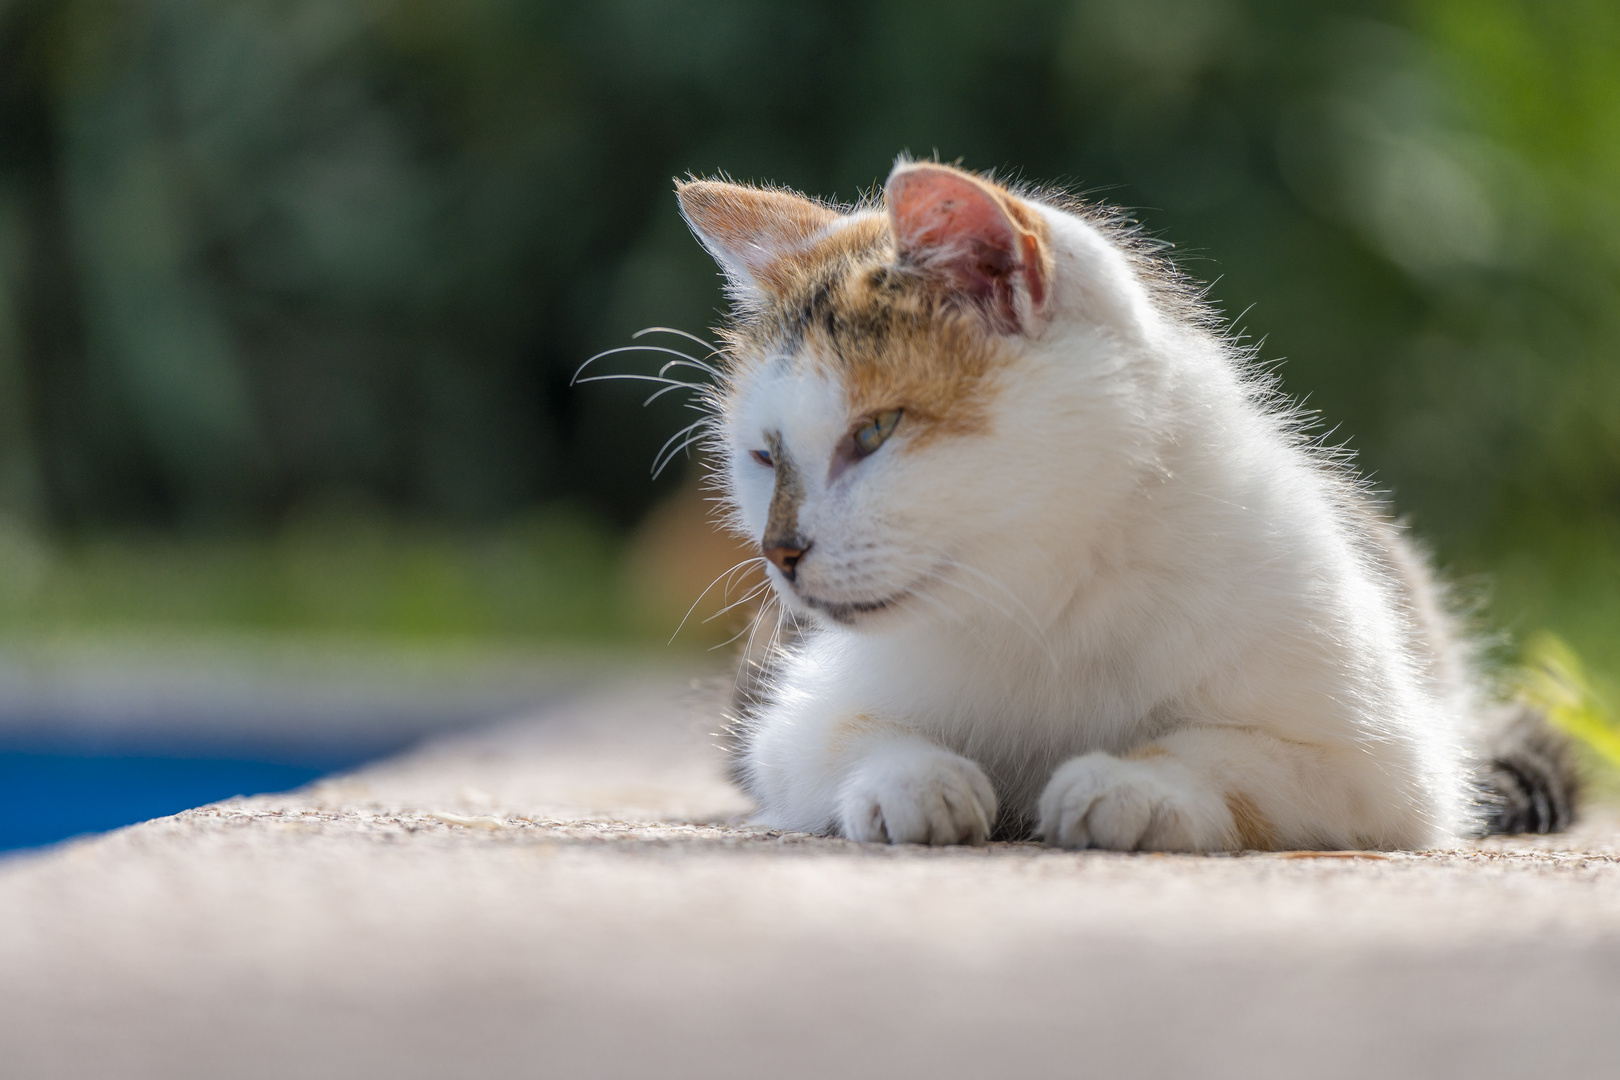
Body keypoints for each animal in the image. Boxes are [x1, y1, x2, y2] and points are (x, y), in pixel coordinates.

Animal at [660, 160, 1568, 854]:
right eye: (764, 457)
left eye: (875, 432)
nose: (779, 552)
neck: (1049, 592)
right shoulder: (793, 717)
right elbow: (833, 738)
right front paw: (915, 780)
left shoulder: (1389, 764)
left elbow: (1244, 757)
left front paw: (1137, 785)